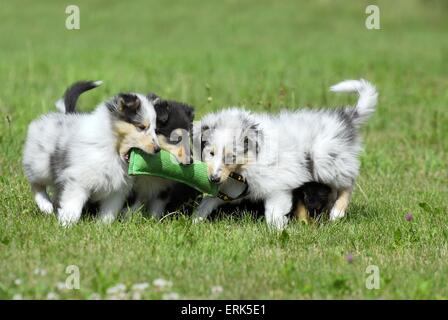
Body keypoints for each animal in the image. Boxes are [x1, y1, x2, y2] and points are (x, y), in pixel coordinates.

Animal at [22, 84, 160, 226]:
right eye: (141, 127)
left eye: (155, 130)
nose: (157, 149)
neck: (111, 150)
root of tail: (66, 114)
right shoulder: (78, 180)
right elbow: (73, 205)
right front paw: (67, 224)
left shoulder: (117, 190)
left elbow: (109, 211)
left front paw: (103, 226)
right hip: (41, 164)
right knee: (36, 183)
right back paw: (45, 206)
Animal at [193, 80, 378, 230]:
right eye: (211, 153)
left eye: (231, 157)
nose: (214, 179)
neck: (244, 167)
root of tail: (346, 119)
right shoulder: (236, 189)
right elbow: (210, 200)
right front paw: (196, 218)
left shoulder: (277, 188)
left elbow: (273, 213)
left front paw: (278, 230)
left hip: (327, 162)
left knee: (349, 183)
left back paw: (337, 212)